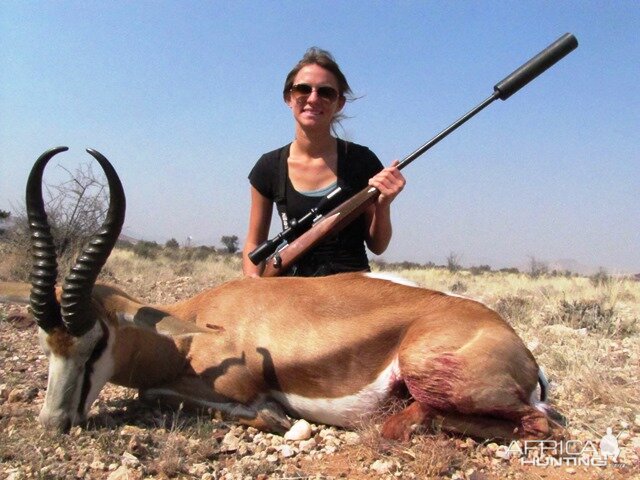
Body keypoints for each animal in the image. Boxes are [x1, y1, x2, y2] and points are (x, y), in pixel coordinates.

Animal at [0, 148, 560, 440]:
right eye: (46, 343)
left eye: (96, 341)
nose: (53, 423)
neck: (190, 329)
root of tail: (523, 353)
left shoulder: (237, 385)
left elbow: (161, 394)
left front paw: (277, 418)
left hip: (434, 373)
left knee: (539, 423)